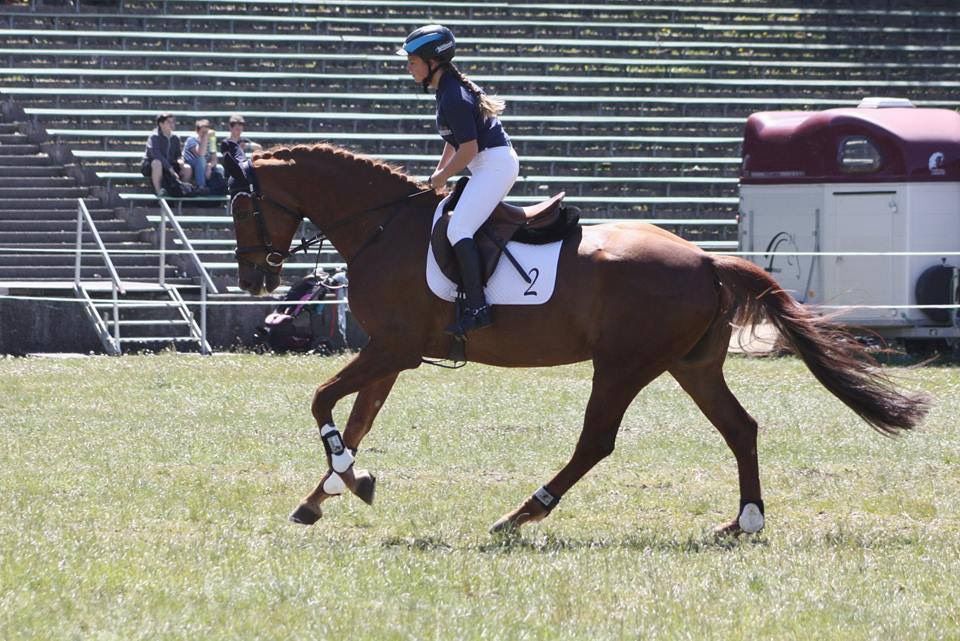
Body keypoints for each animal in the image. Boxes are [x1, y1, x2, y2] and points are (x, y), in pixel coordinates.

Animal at [225, 142, 928, 532]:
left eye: (241, 206)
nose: (254, 280)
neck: (382, 226)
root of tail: (706, 259)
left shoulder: (392, 349)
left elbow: (322, 400)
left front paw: (349, 481)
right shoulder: (393, 355)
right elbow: (358, 420)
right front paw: (329, 494)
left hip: (622, 365)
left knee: (597, 441)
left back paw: (522, 513)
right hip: (691, 366)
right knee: (740, 428)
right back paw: (745, 521)